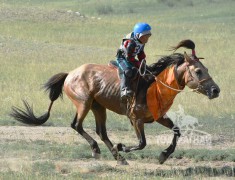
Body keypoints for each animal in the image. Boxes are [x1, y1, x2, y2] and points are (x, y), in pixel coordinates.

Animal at [10, 39, 220, 165]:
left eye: (207, 69)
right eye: (198, 71)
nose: (215, 90)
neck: (155, 86)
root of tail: (70, 74)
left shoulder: (158, 116)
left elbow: (177, 131)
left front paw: (163, 155)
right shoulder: (136, 119)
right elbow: (142, 143)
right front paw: (123, 147)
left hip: (98, 107)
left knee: (101, 131)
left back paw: (118, 158)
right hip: (84, 103)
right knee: (77, 125)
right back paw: (99, 150)